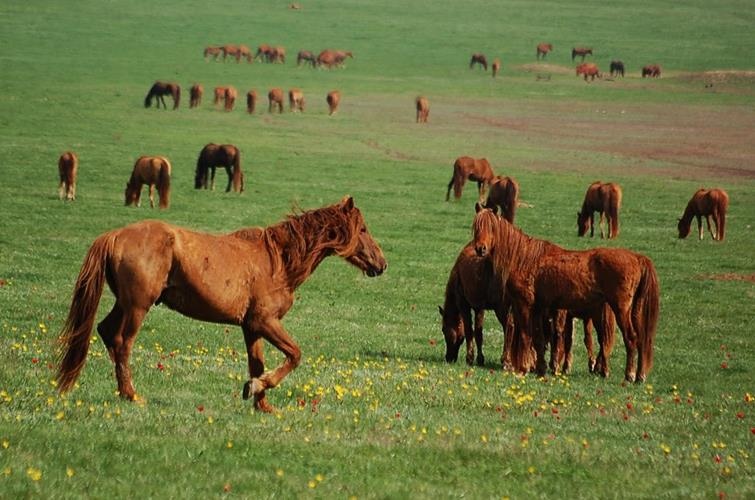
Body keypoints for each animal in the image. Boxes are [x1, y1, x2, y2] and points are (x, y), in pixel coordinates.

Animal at [55, 196, 387, 412]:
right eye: (363, 229)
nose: (382, 264)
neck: (278, 260)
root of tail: (114, 236)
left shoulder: (251, 327)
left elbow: (257, 364)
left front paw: (260, 401)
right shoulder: (265, 322)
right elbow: (294, 355)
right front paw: (257, 388)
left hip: (124, 305)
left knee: (106, 332)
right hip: (137, 307)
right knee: (123, 342)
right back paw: (131, 395)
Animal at [471, 206, 659, 382]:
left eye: (491, 227)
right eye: (476, 226)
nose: (480, 248)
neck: (524, 258)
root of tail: (637, 258)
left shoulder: (524, 305)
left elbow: (526, 335)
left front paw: (524, 369)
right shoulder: (538, 308)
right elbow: (538, 340)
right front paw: (540, 369)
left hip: (621, 309)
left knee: (631, 338)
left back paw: (629, 375)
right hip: (634, 311)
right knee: (641, 339)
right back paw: (639, 375)